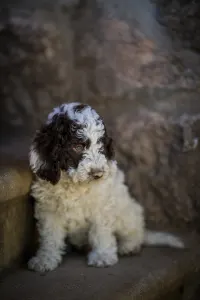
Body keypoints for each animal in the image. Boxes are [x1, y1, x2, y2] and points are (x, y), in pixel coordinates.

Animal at [27, 101, 184, 272]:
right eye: (77, 146)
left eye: (100, 146)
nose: (98, 174)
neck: (75, 185)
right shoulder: (48, 209)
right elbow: (50, 235)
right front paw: (45, 258)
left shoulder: (101, 205)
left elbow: (101, 231)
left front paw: (102, 256)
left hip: (127, 212)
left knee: (135, 231)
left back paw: (129, 246)